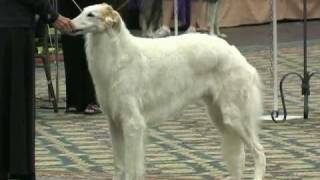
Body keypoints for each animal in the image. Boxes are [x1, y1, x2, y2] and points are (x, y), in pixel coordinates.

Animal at [71, 3, 266, 180]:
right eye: (82, 11)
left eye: (91, 14)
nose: (70, 25)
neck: (119, 53)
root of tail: (240, 57)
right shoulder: (114, 122)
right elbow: (119, 166)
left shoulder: (133, 123)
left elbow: (131, 168)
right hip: (220, 117)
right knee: (241, 156)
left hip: (235, 117)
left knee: (259, 152)